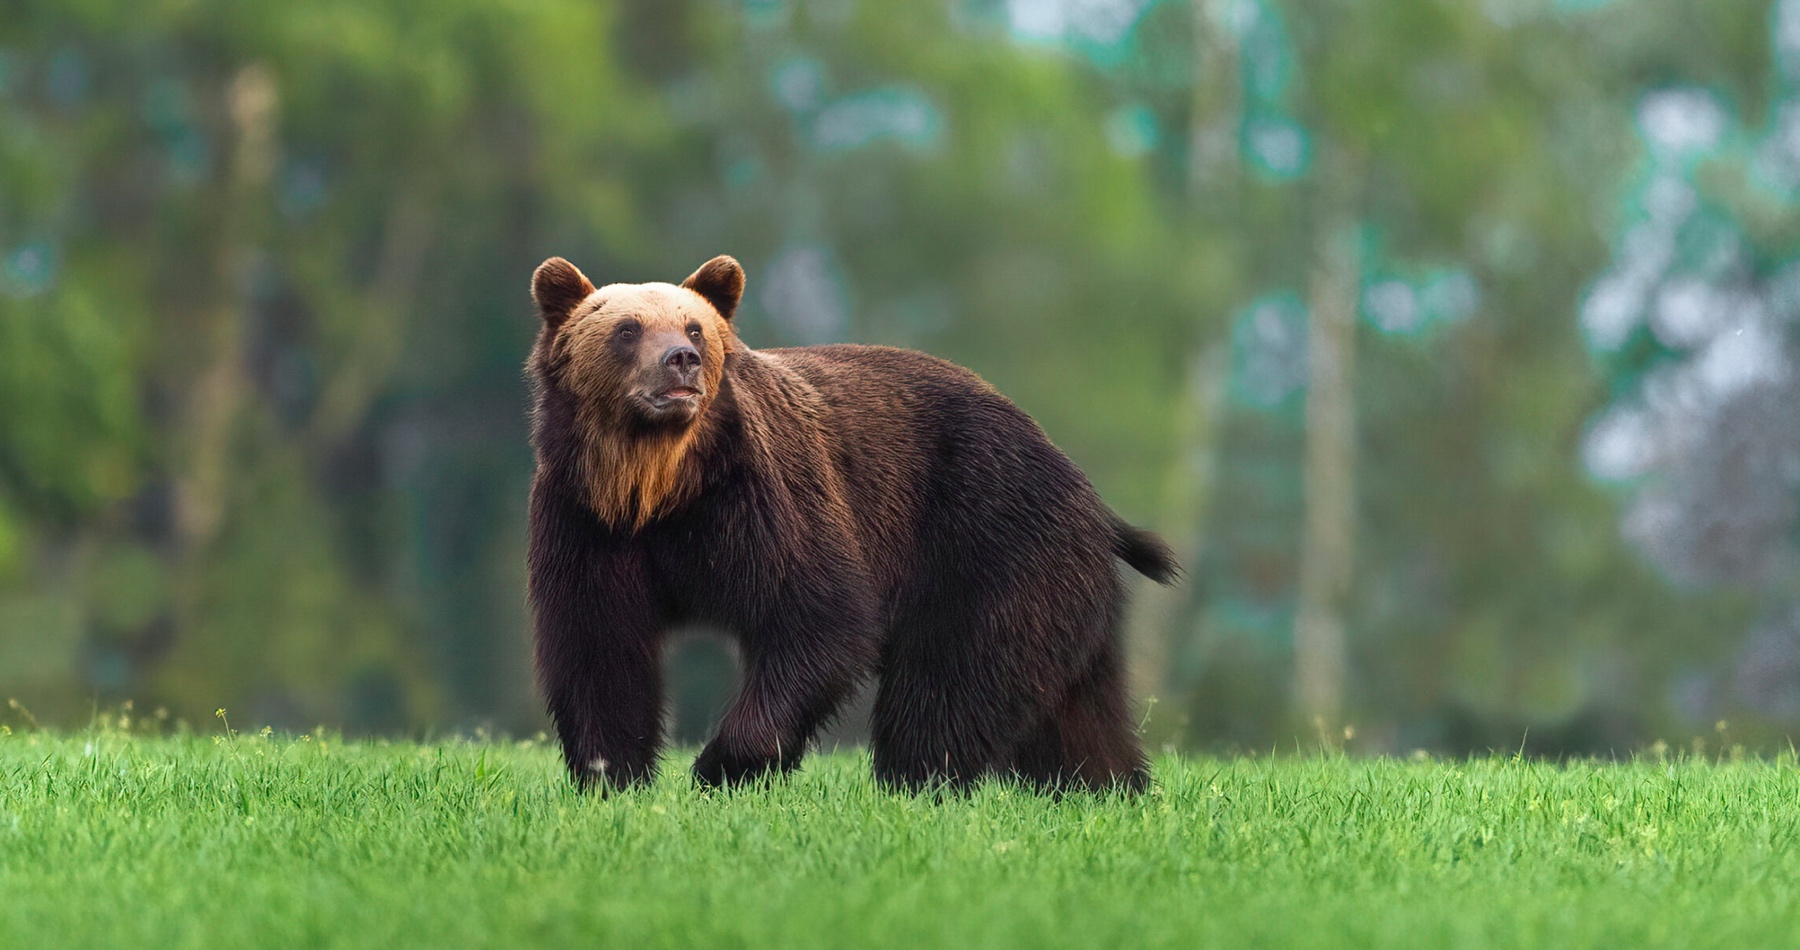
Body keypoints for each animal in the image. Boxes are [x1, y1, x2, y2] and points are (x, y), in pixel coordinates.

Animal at [529, 253, 1180, 795]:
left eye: (694, 328)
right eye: (627, 329)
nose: (681, 362)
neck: (658, 486)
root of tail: (1089, 493)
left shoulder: (762, 501)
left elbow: (818, 616)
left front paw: (719, 766)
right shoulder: (587, 522)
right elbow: (597, 644)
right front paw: (611, 775)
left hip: (993, 541)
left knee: (950, 678)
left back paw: (917, 781)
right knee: (1077, 712)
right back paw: (1108, 786)